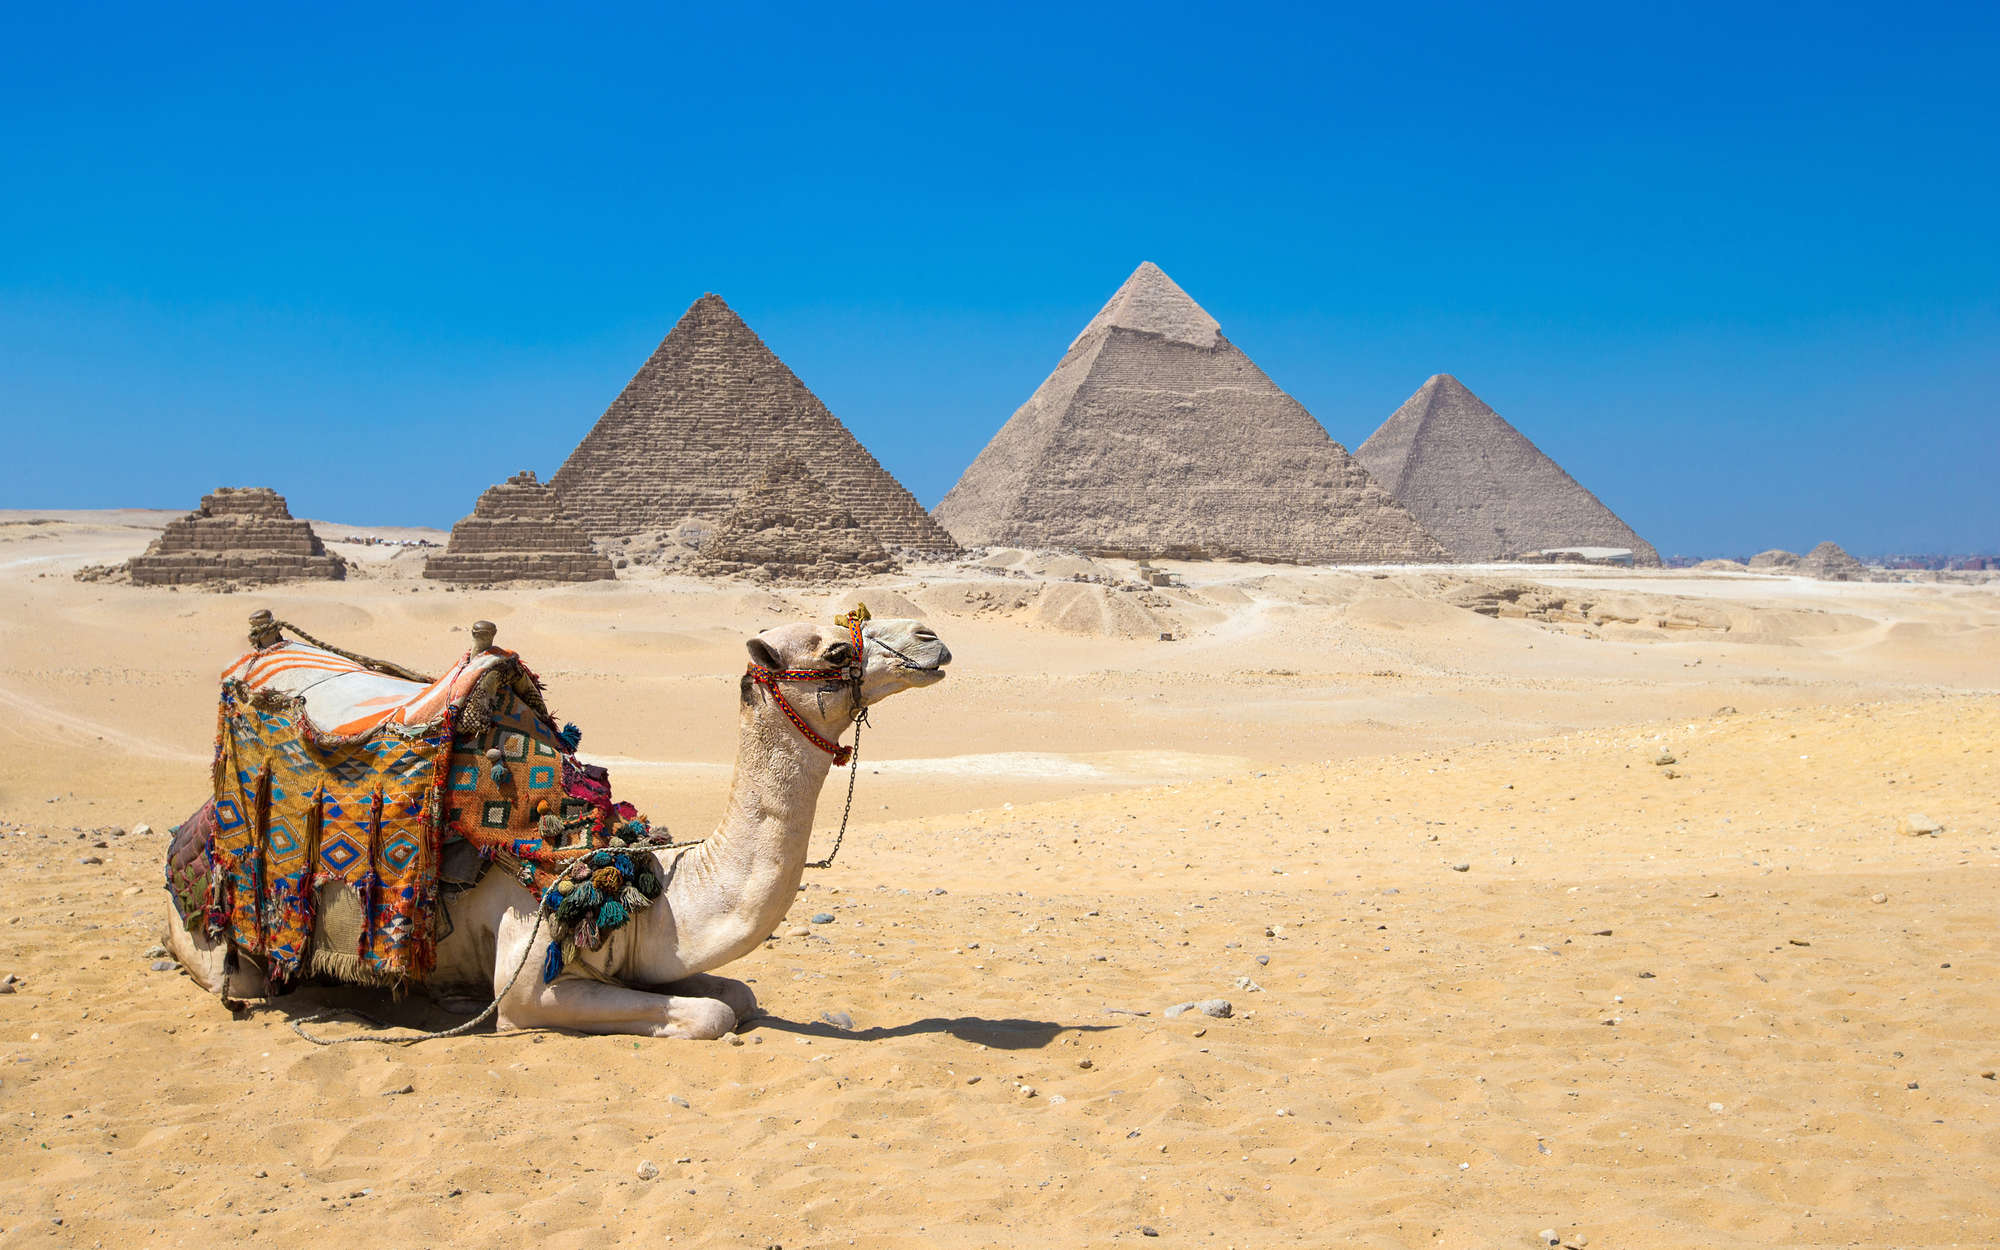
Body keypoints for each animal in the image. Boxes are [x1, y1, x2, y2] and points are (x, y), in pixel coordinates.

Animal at [164, 614, 951, 1038]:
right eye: (836, 650)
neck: (640, 885)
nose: (931, 638)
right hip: (221, 947)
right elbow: (710, 1015)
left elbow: (737, 996)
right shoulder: (531, 981)